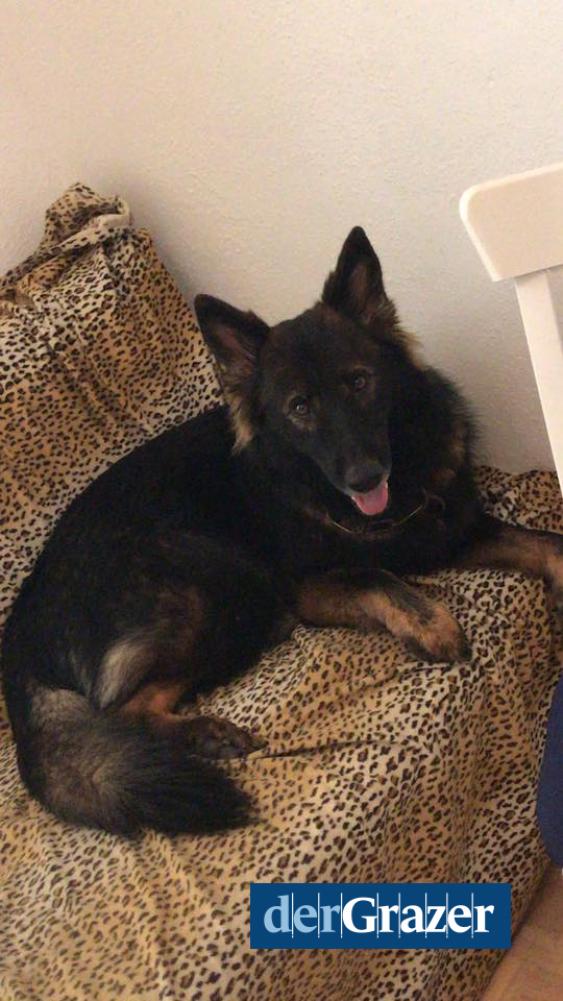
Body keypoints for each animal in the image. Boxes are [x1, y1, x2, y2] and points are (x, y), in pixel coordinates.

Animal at [2, 227, 562, 836]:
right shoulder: (306, 586)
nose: (365, 476)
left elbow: (545, 544)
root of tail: (22, 625)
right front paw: (430, 623)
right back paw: (204, 733)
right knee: (121, 710)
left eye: (359, 382)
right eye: (299, 408)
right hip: (227, 582)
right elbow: (375, 576)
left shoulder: (450, 531)